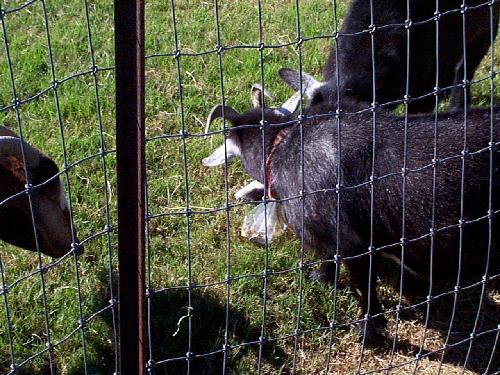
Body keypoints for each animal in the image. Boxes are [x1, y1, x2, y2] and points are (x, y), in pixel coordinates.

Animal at [204, 70, 500, 344]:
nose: (242, 195)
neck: (285, 144)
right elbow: (328, 256)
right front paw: (321, 278)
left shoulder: (354, 245)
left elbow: (364, 291)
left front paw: (368, 334)